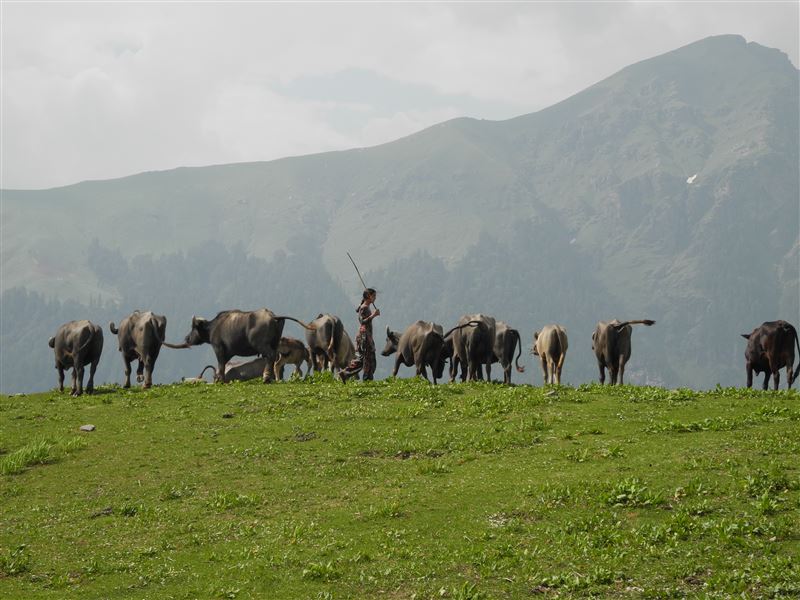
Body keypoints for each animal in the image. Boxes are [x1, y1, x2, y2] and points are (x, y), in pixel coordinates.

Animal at [179, 310, 316, 384]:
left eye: (193, 328)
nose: (187, 338)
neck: (214, 327)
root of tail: (272, 316)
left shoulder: (218, 348)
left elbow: (221, 364)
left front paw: (220, 380)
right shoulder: (228, 352)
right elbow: (222, 365)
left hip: (262, 345)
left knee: (270, 356)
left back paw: (266, 377)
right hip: (275, 343)